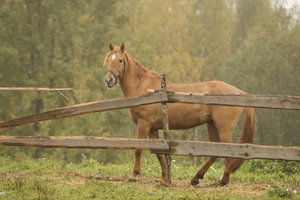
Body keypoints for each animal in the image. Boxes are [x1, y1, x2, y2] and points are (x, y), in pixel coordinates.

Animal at [103, 43, 255, 187]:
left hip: (224, 129)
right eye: (108, 59)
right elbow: (158, 152)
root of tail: (240, 92)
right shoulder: (153, 128)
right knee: (214, 151)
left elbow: (139, 149)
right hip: (211, 125)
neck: (143, 87)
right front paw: (164, 178)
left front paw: (133, 175)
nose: (108, 80)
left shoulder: (144, 124)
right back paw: (196, 178)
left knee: (228, 151)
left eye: (120, 60)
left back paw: (223, 180)